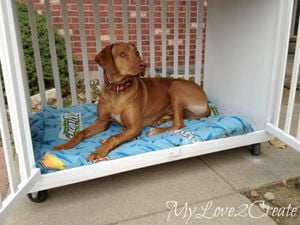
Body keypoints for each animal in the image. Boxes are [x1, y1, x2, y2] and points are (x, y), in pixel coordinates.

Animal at [53, 43, 209, 161]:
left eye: (137, 53)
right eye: (122, 54)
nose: (144, 64)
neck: (117, 91)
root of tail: (206, 101)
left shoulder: (134, 127)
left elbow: (113, 137)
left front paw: (99, 151)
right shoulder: (102, 122)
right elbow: (81, 133)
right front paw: (65, 145)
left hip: (175, 86)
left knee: (179, 123)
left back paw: (157, 130)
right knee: (179, 118)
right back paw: (158, 121)